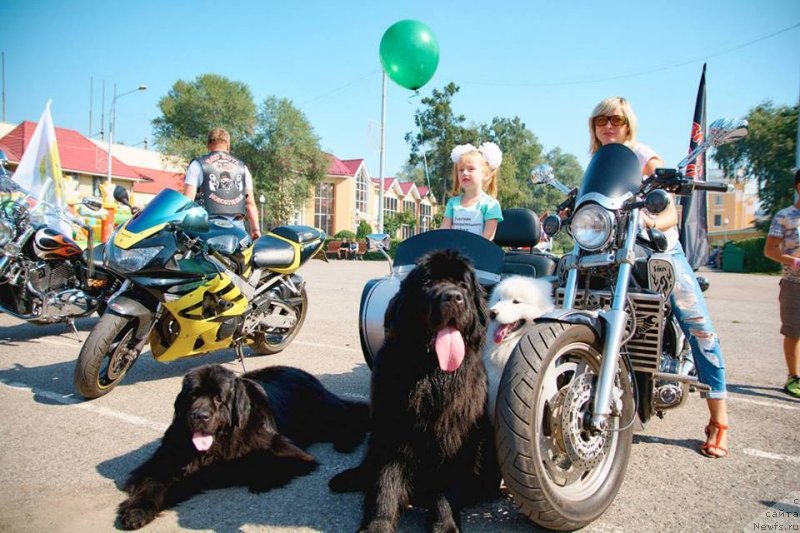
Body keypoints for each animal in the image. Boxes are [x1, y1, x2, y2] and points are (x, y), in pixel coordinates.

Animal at [118, 364, 368, 528]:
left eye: (219, 399)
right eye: (193, 396)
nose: (199, 416)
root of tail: (299, 370)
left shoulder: (288, 452)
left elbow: (237, 465)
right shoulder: (164, 459)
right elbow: (153, 481)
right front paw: (136, 511)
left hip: (322, 415)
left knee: (355, 411)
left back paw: (346, 442)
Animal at [328, 250, 496, 532]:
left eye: (463, 285)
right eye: (427, 283)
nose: (453, 297)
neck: (432, 376)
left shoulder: (454, 437)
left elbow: (445, 490)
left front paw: (445, 524)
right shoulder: (392, 431)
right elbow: (385, 483)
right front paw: (378, 524)